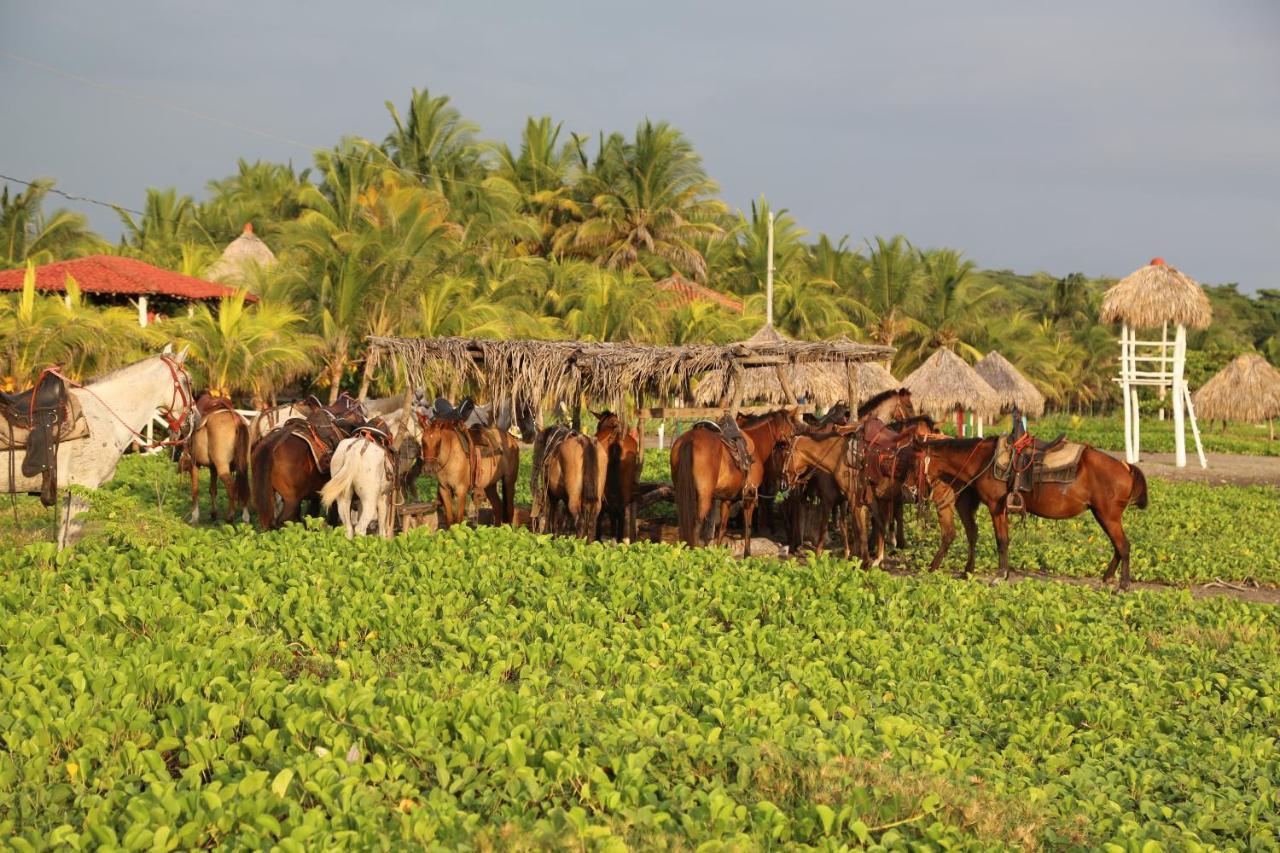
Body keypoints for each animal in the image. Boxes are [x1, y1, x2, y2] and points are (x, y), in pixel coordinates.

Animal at [2, 348, 194, 548]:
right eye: (188, 381)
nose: (192, 421)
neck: (105, 416)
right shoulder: (84, 487)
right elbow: (69, 542)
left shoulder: (71, 491)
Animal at [180, 394, 249, 525]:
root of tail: (236, 420)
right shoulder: (213, 468)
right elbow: (212, 490)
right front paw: (213, 514)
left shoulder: (194, 465)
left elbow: (195, 490)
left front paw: (194, 517)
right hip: (243, 466)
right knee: (244, 486)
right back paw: (245, 517)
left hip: (223, 467)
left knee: (231, 487)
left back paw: (230, 516)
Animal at [665, 409, 793, 555]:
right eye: (792, 433)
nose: (785, 482)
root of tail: (690, 439)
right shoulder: (749, 497)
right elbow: (747, 528)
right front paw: (747, 555)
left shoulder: (727, 499)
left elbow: (722, 528)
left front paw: (717, 555)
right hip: (704, 497)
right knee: (696, 524)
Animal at [911, 435, 1152, 589]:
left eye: (914, 462)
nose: (911, 490)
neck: (984, 460)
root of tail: (1125, 467)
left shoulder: (996, 507)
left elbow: (1002, 541)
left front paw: (999, 576)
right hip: (1103, 515)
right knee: (1118, 546)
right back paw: (1107, 578)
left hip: (1108, 516)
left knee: (1124, 546)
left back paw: (1123, 585)